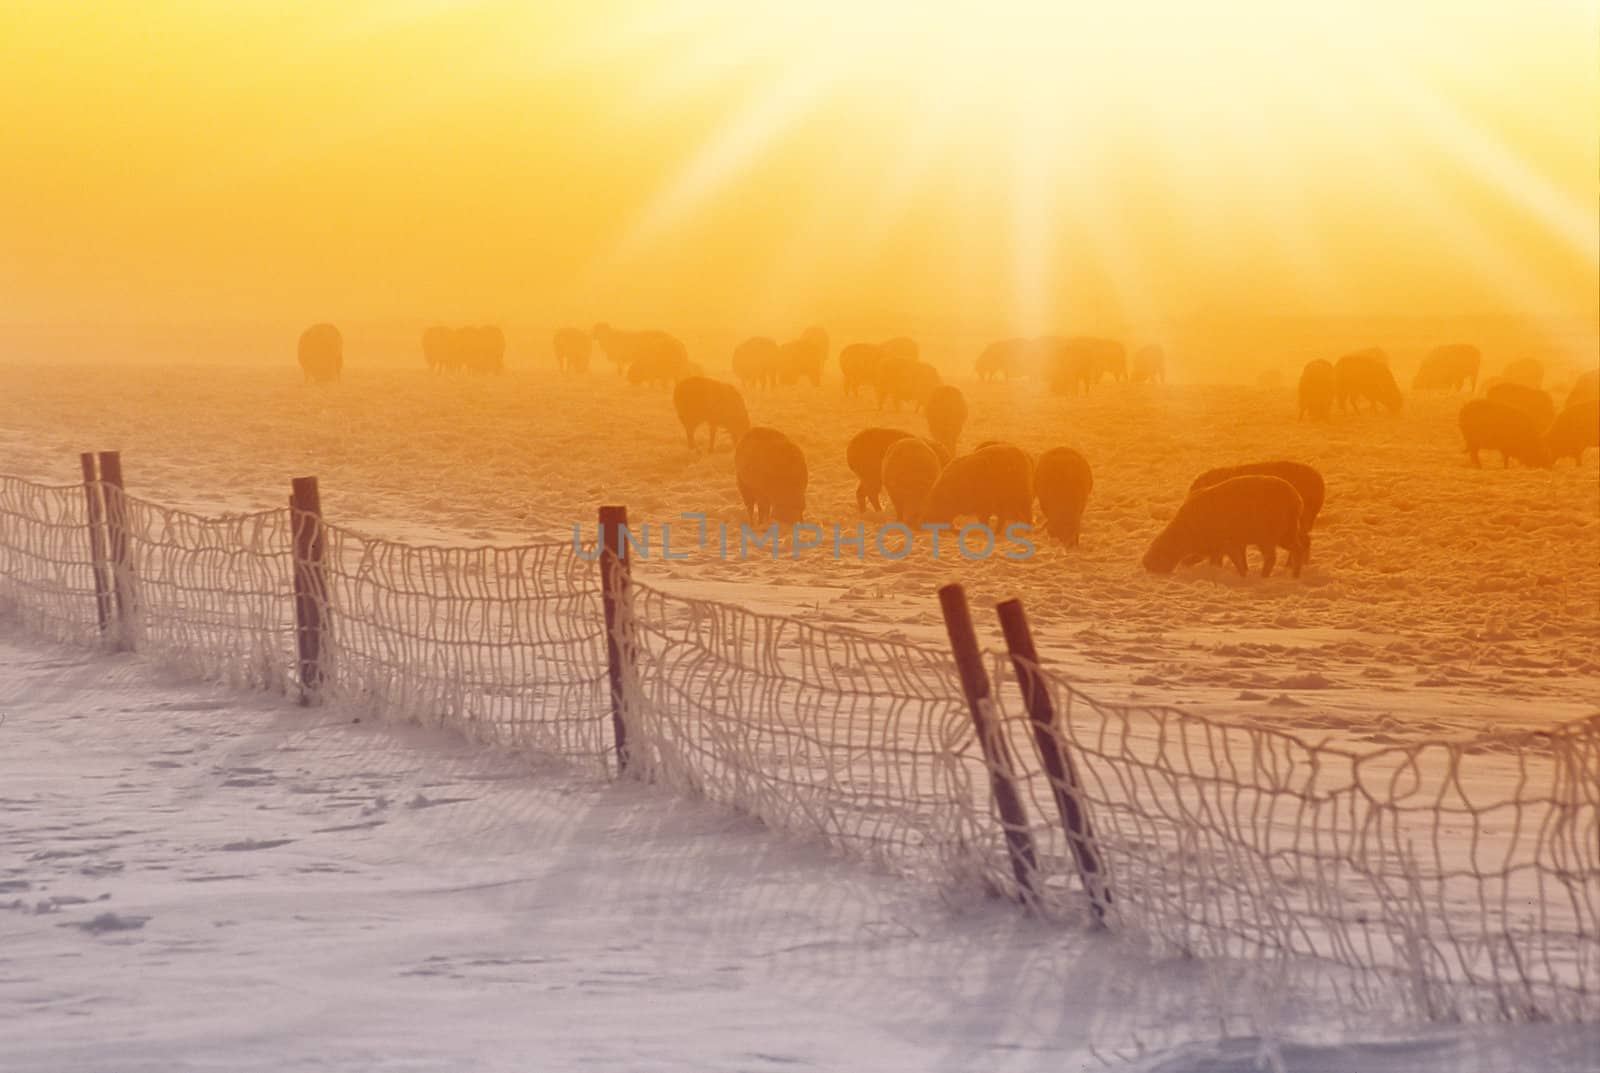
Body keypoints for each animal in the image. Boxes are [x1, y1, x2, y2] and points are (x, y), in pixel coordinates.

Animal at [1145, 476, 1305, 578]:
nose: (1149, 569)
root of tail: (1295, 498)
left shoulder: (1227, 543)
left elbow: (1235, 561)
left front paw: (1242, 576)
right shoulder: (1219, 546)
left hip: (1268, 534)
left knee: (1273, 557)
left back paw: (1265, 576)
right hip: (1287, 532)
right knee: (1297, 548)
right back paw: (1295, 575)